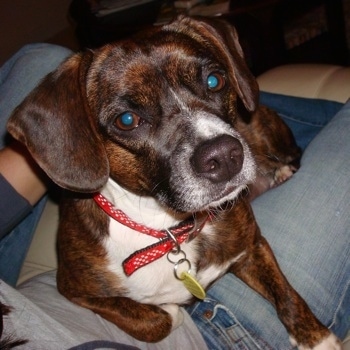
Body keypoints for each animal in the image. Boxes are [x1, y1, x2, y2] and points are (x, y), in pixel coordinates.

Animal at [7, 15, 342, 348]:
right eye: (126, 120)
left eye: (214, 81)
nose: (224, 156)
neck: (168, 229)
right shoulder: (73, 289)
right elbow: (151, 320)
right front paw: (170, 310)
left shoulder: (253, 246)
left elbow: (287, 294)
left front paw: (317, 338)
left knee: (290, 155)